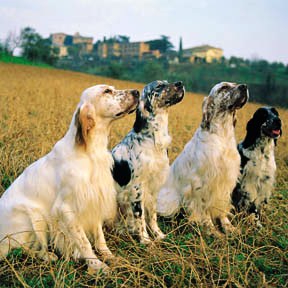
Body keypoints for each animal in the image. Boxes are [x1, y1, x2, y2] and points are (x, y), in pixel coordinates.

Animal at [0, 84, 140, 274]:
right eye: (107, 91)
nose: (137, 92)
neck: (89, 151)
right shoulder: (66, 209)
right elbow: (84, 242)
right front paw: (96, 265)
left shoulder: (94, 200)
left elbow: (99, 236)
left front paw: (108, 256)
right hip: (34, 215)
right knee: (25, 250)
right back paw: (49, 256)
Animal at [111, 80, 186, 243]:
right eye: (158, 86)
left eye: (166, 82)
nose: (180, 83)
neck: (153, 140)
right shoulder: (137, 189)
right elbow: (140, 217)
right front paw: (145, 240)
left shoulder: (154, 187)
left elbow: (152, 216)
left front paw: (158, 235)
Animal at [156, 81, 249, 234]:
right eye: (224, 87)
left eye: (235, 84)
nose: (244, 86)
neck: (222, 134)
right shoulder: (202, 183)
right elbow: (204, 210)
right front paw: (212, 230)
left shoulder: (226, 182)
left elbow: (222, 210)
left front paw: (228, 227)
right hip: (171, 200)